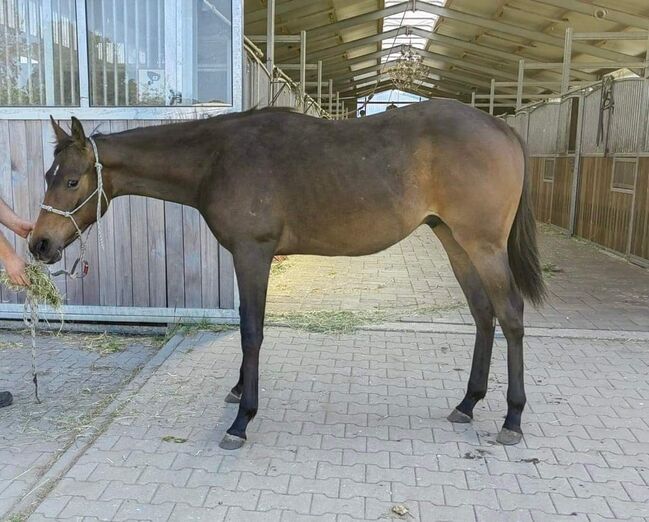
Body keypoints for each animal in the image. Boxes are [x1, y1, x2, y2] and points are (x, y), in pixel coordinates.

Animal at [29, 100, 540, 446]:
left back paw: (512, 418)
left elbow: (252, 331)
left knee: (511, 314)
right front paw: (238, 390)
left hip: (483, 246)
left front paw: (242, 420)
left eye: (71, 180)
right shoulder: (247, 257)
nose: (39, 245)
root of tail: (502, 128)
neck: (218, 158)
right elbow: (245, 323)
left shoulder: (253, 254)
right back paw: (467, 403)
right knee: (483, 315)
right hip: (454, 240)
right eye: (47, 176)